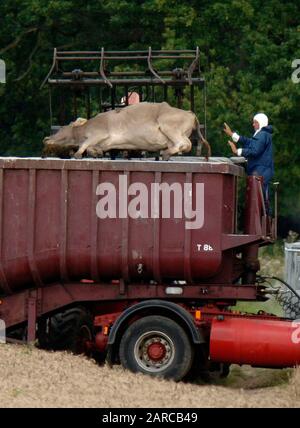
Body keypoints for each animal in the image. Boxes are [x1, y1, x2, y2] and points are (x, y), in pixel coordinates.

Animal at [42, 102, 211, 160]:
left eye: (62, 127)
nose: (46, 138)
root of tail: (189, 112)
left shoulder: (99, 132)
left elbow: (85, 144)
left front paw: (78, 154)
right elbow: (91, 148)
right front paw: (96, 153)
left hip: (169, 126)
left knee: (185, 143)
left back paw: (166, 153)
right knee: (184, 144)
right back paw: (167, 153)